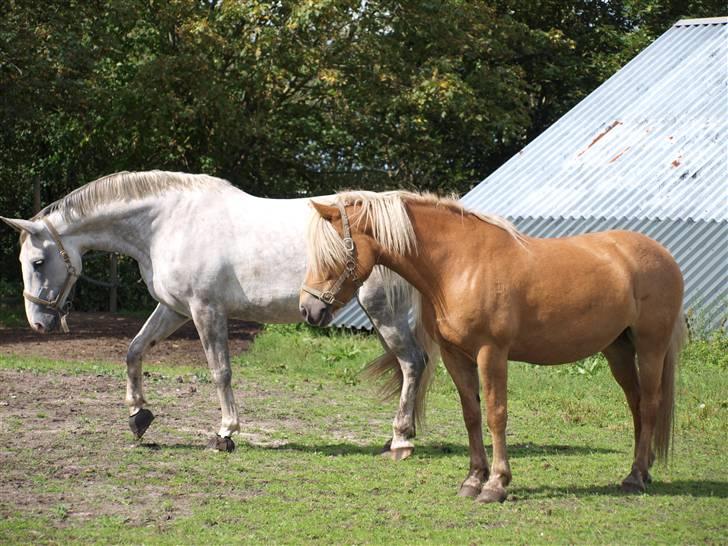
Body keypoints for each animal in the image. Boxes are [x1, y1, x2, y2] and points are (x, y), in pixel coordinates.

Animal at [0, 170, 436, 450]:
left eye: (37, 262)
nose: (39, 323)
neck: (166, 222)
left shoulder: (205, 310)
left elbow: (220, 371)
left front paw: (226, 433)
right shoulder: (173, 309)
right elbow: (134, 351)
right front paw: (138, 415)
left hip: (383, 313)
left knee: (413, 363)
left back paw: (400, 437)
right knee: (411, 365)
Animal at [298, 191, 684, 502]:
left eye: (332, 254)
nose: (309, 309)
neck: (458, 264)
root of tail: (664, 255)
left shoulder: (492, 353)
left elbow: (496, 414)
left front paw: (497, 484)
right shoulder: (455, 356)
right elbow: (471, 414)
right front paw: (473, 480)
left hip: (651, 346)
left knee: (650, 403)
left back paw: (635, 476)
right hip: (617, 350)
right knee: (636, 404)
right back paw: (643, 469)